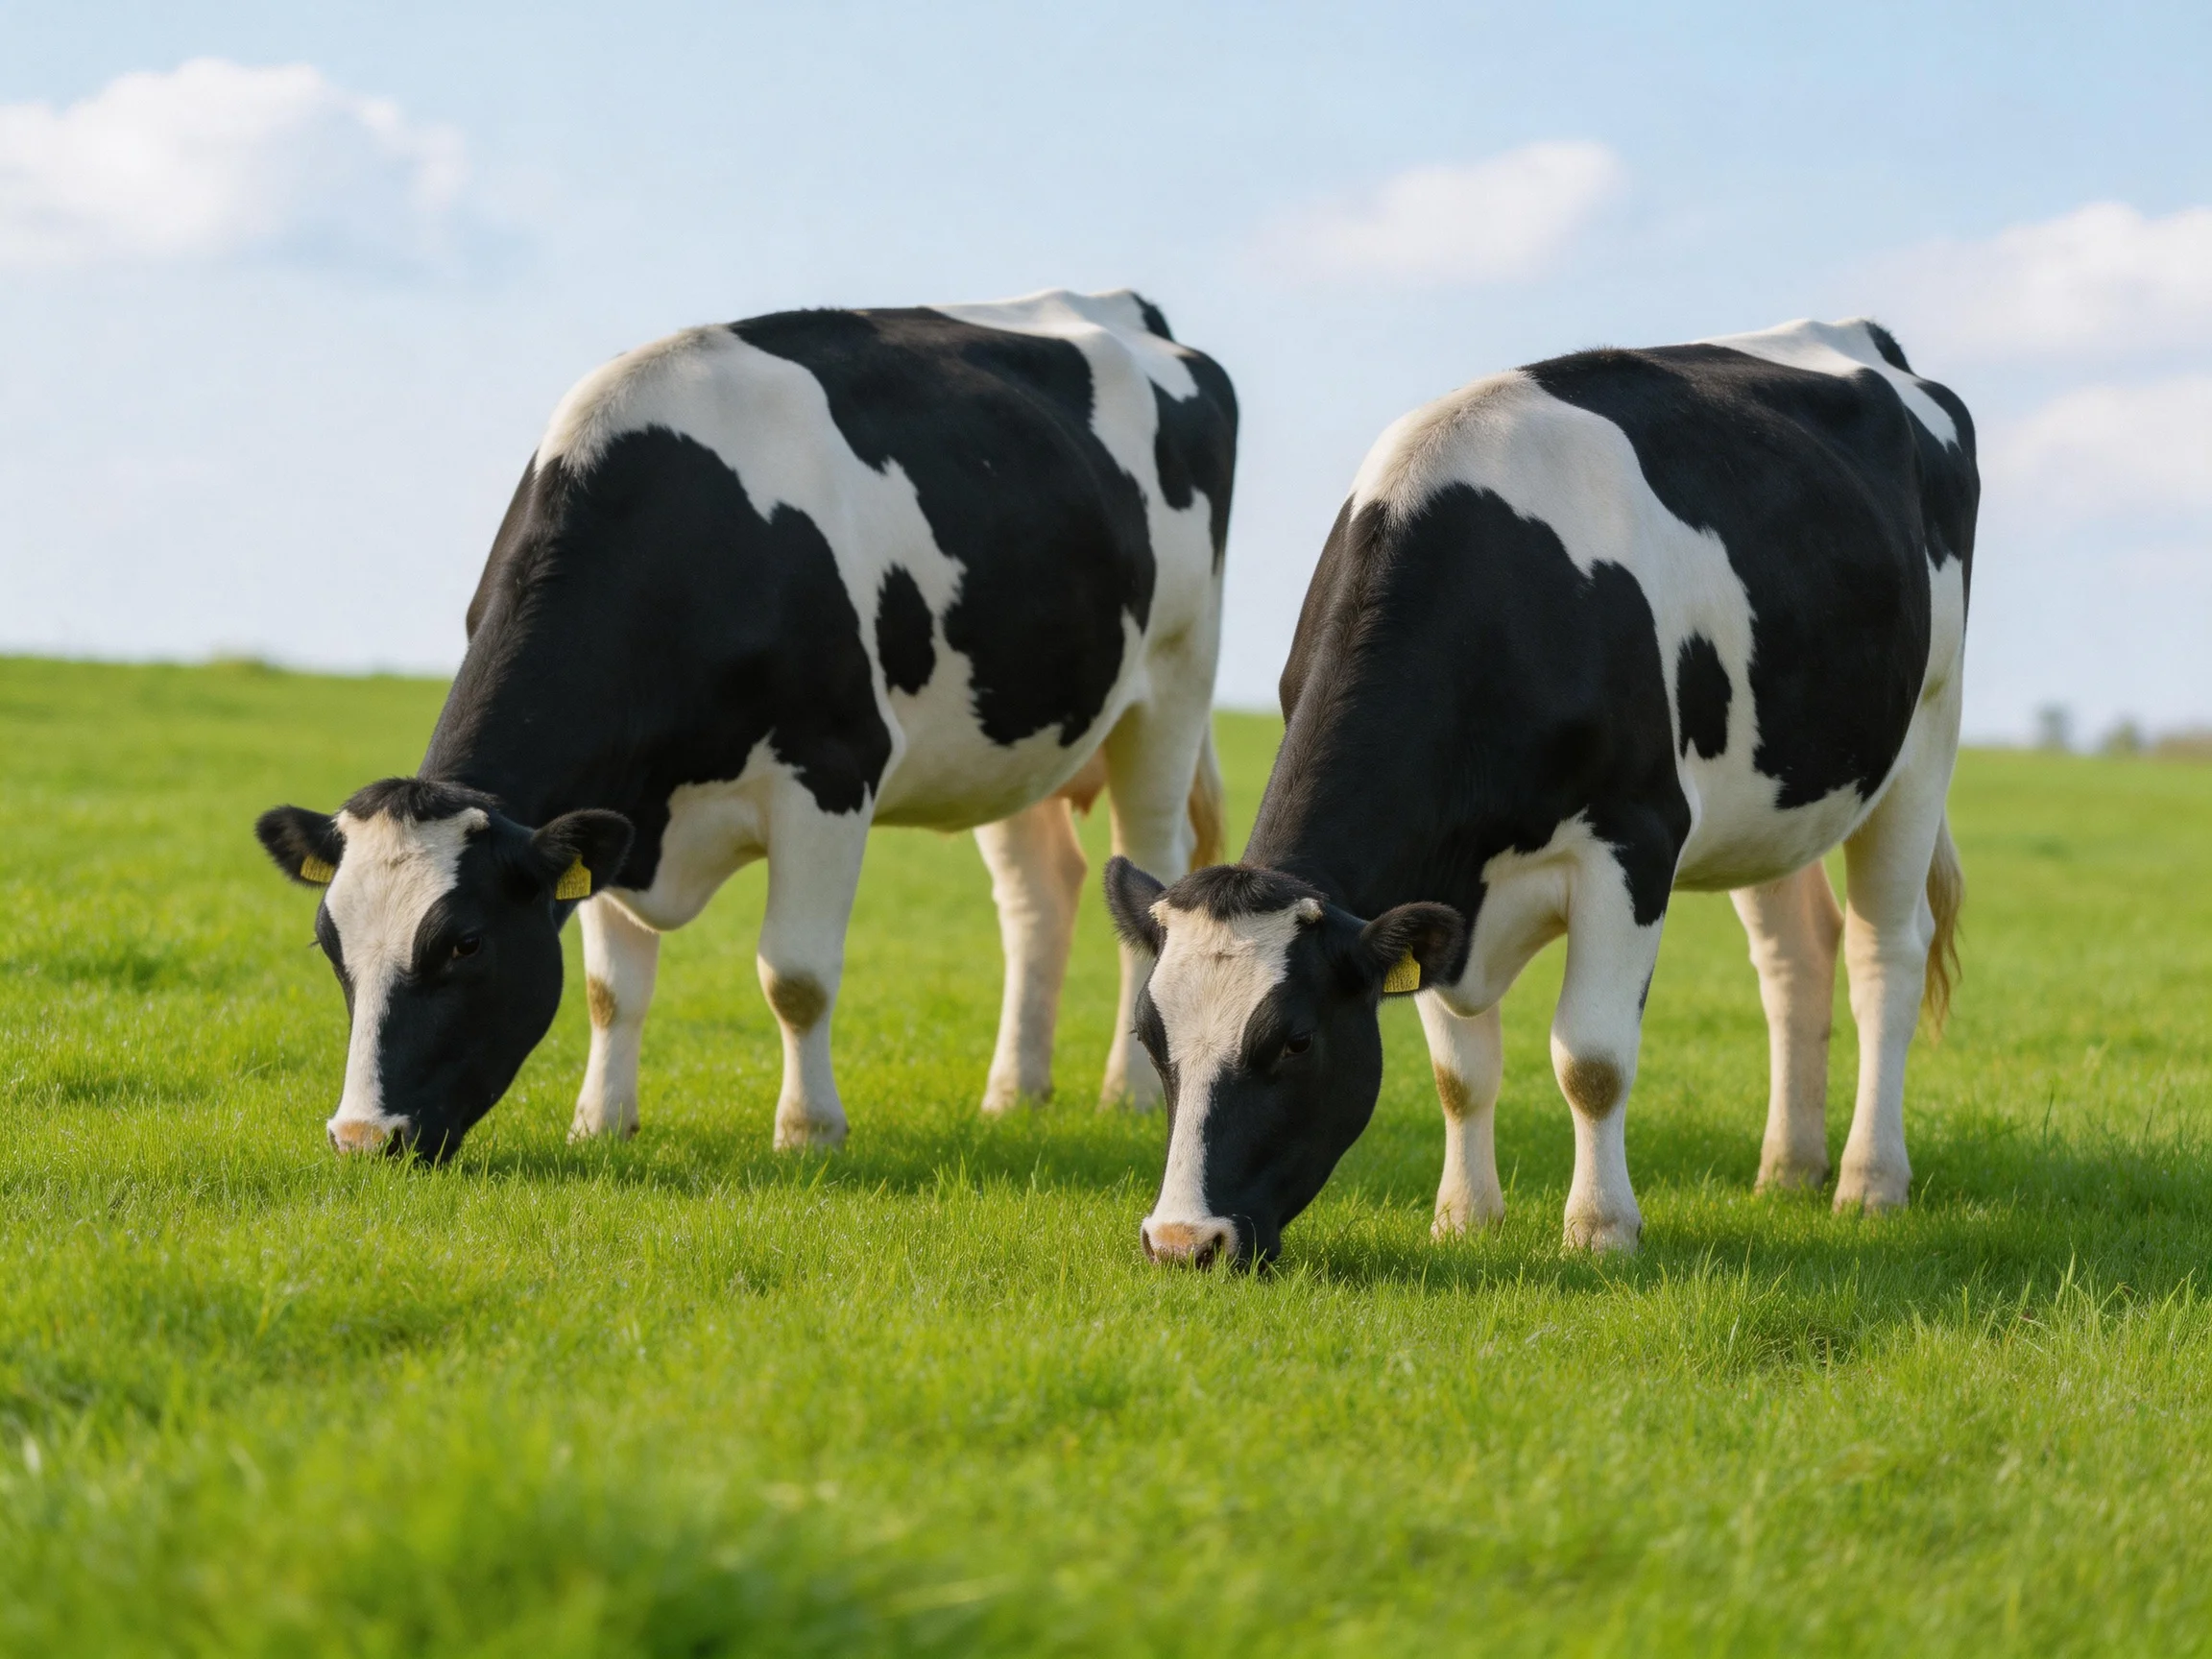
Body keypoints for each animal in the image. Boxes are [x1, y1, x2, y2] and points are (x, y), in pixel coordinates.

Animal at [255, 288, 1236, 1158]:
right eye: (330, 945)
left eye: (462, 943)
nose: (361, 1138)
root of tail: (1122, 306)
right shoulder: (617, 813)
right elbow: (612, 989)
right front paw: (601, 1123)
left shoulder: (832, 771)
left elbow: (794, 976)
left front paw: (808, 1132)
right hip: (1008, 735)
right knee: (1037, 896)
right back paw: (1014, 1093)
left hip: (1172, 685)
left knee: (1148, 864)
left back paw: (1128, 1094)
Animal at [1104, 318, 1975, 1267]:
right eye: (1151, 1036)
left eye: (1295, 1040)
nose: (1183, 1241)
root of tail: (1860, 337)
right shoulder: (1438, 890)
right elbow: (1458, 1073)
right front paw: (1464, 1217)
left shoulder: (1633, 839)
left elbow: (1590, 1059)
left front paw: (1600, 1231)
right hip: (1772, 798)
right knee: (1797, 958)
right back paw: (1788, 1169)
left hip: (1925, 737)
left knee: (1885, 957)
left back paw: (1869, 1181)